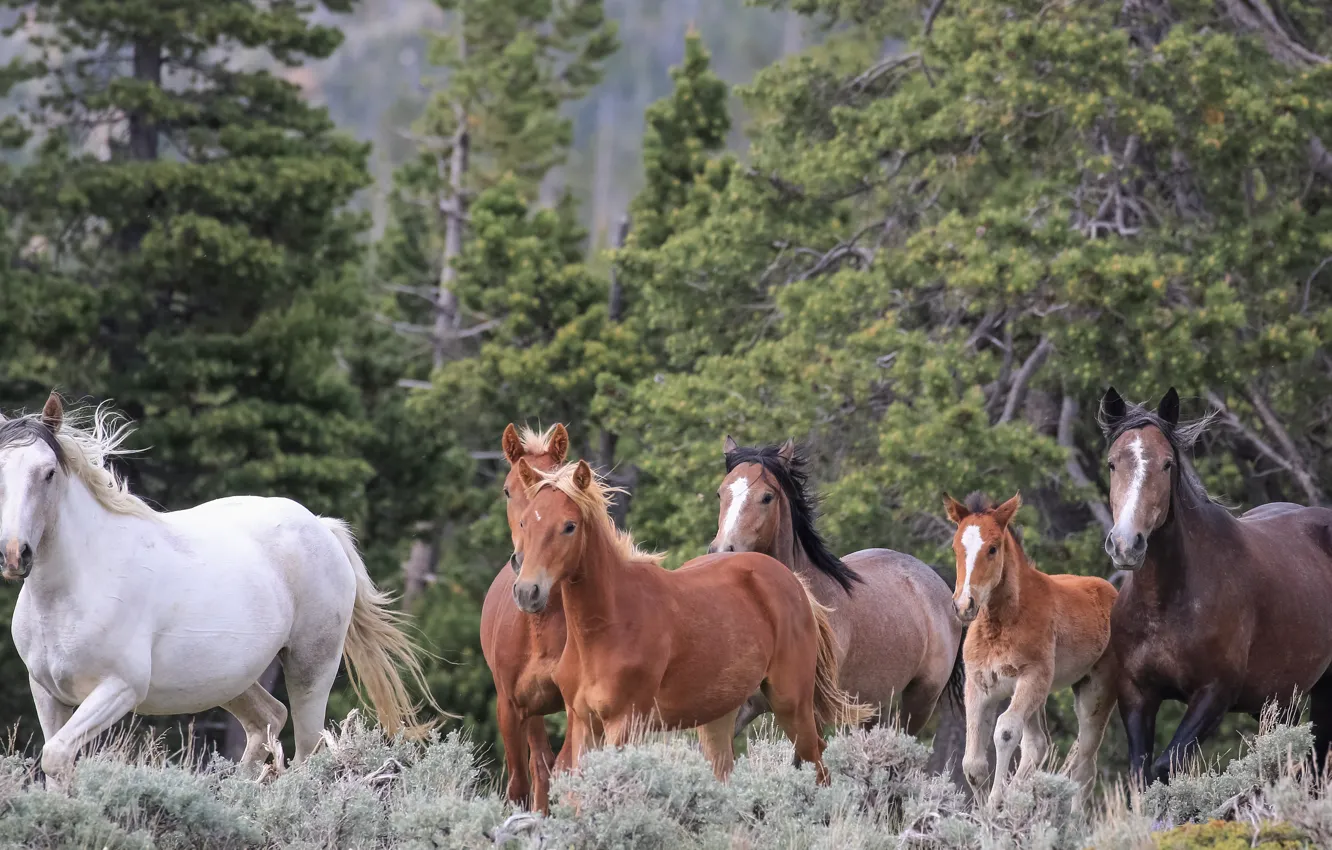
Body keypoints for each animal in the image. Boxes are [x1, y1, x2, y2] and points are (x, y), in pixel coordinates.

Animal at [0, 392, 437, 781]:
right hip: (231, 681)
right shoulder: (47, 693)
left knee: (306, 751)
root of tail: (321, 525)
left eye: (49, 473)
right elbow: (57, 764)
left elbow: (55, 756)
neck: (74, 588)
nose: (15, 555)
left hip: (312, 669)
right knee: (268, 721)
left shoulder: (119, 689)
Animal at [507, 457, 871, 784]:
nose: (527, 591)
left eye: (569, 526)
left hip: (790, 701)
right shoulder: (583, 724)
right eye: (525, 523)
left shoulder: (624, 726)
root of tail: (793, 581)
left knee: (816, 760)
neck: (603, 630)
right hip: (718, 717)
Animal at [711, 437, 964, 737]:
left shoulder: (812, 712)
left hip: (920, 700)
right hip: (872, 707)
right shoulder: (739, 708)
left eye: (766, 497)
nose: (722, 551)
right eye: (720, 493)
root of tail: (935, 580)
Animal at [944, 492, 1118, 808]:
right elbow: (973, 763)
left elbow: (1005, 731)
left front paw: (997, 803)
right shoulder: (978, 685)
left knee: (1085, 766)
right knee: (1038, 744)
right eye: (955, 548)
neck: (1001, 622)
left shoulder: (1032, 677)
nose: (964, 605)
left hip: (1094, 692)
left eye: (992, 549)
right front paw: (986, 812)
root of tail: (1113, 593)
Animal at [1100, 386, 1332, 784]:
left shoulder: (1215, 693)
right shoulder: (1136, 694)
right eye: (1113, 463)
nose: (1126, 544)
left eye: (1167, 464)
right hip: (1279, 699)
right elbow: (1141, 774)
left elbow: (1166, 767)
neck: (1166, 601)